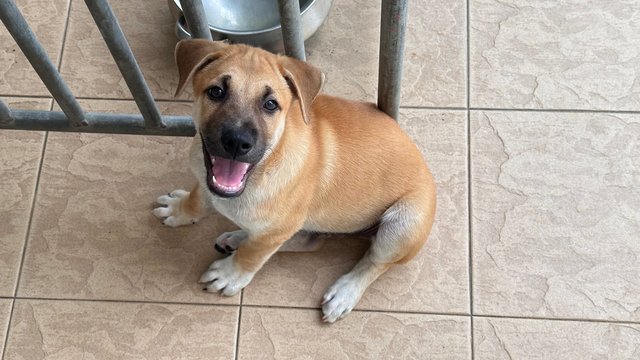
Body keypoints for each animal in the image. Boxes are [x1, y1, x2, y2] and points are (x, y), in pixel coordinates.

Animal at [154, 40, 436, 324]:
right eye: (216, 91)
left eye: (270, 105)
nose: (236, 142)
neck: (264, 168)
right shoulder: (206, 178)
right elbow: (198, 199)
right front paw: (180, 210)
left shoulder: (276, 228)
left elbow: (252, 254)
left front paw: (229, 275)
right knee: (306, 241)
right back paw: (238, 236)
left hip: (403, 224)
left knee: (375, 262)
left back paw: (345, 292)